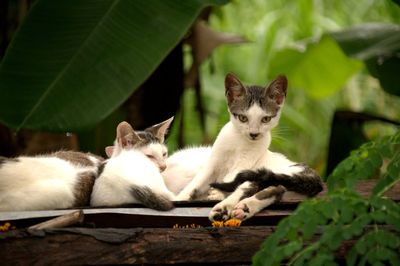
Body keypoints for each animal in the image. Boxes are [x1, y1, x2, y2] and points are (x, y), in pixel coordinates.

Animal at [167, 74, 324, 221]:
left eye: (265, 119)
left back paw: (225, 208)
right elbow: (196, 182)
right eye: (243, 118)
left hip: (268, 172)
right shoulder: (213, 162)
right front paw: (180, 198)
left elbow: (228, 180)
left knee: (251, 186)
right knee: (276, 188)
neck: (239, 141)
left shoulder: (244, 164)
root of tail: (312, 174)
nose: (254, 134)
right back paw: (244, 208)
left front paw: (216, 194)